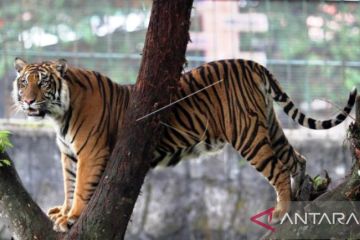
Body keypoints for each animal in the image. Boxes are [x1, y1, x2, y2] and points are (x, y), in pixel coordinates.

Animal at [11, 57, 358, 232]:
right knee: (296, 158)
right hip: (270, 126)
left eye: (42, 82)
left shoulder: (90, 153)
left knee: (277, 169)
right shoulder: (69, 156)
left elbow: (82, 187)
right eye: (23, 81)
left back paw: (281, 211)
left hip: (247, 134)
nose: (26, 101)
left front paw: (72, 217)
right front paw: (62, 211)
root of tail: (250, 62)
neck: (60, 114)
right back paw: (302, 197)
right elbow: (69, 185)